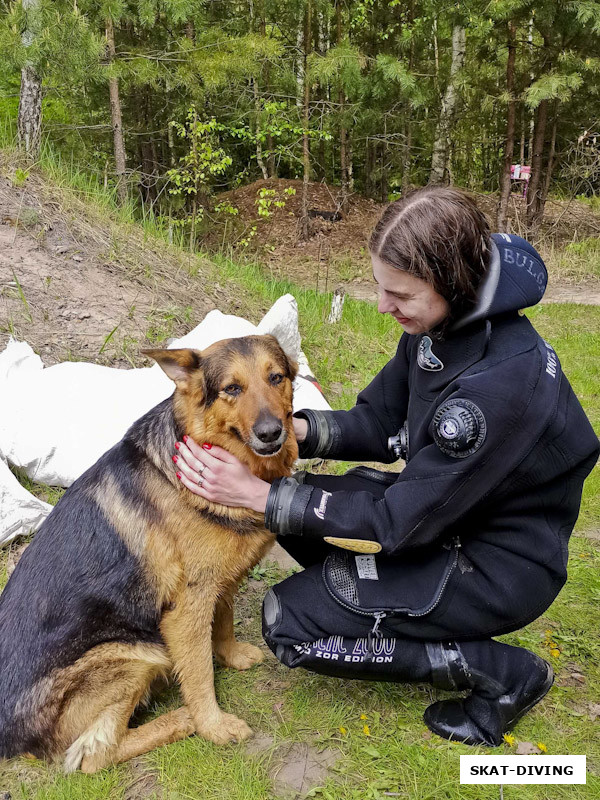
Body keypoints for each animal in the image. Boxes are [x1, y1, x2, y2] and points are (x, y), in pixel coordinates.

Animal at [0, 334, 298, 772]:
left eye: (276, 378)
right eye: (232, 388)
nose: (270, 433)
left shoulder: (218, 581)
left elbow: (223, 621)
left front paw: (230, 655)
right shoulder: (187, 606)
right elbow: (200, 672)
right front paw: (213, 725)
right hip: (136, 655)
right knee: (93, 757)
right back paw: (183, 719)